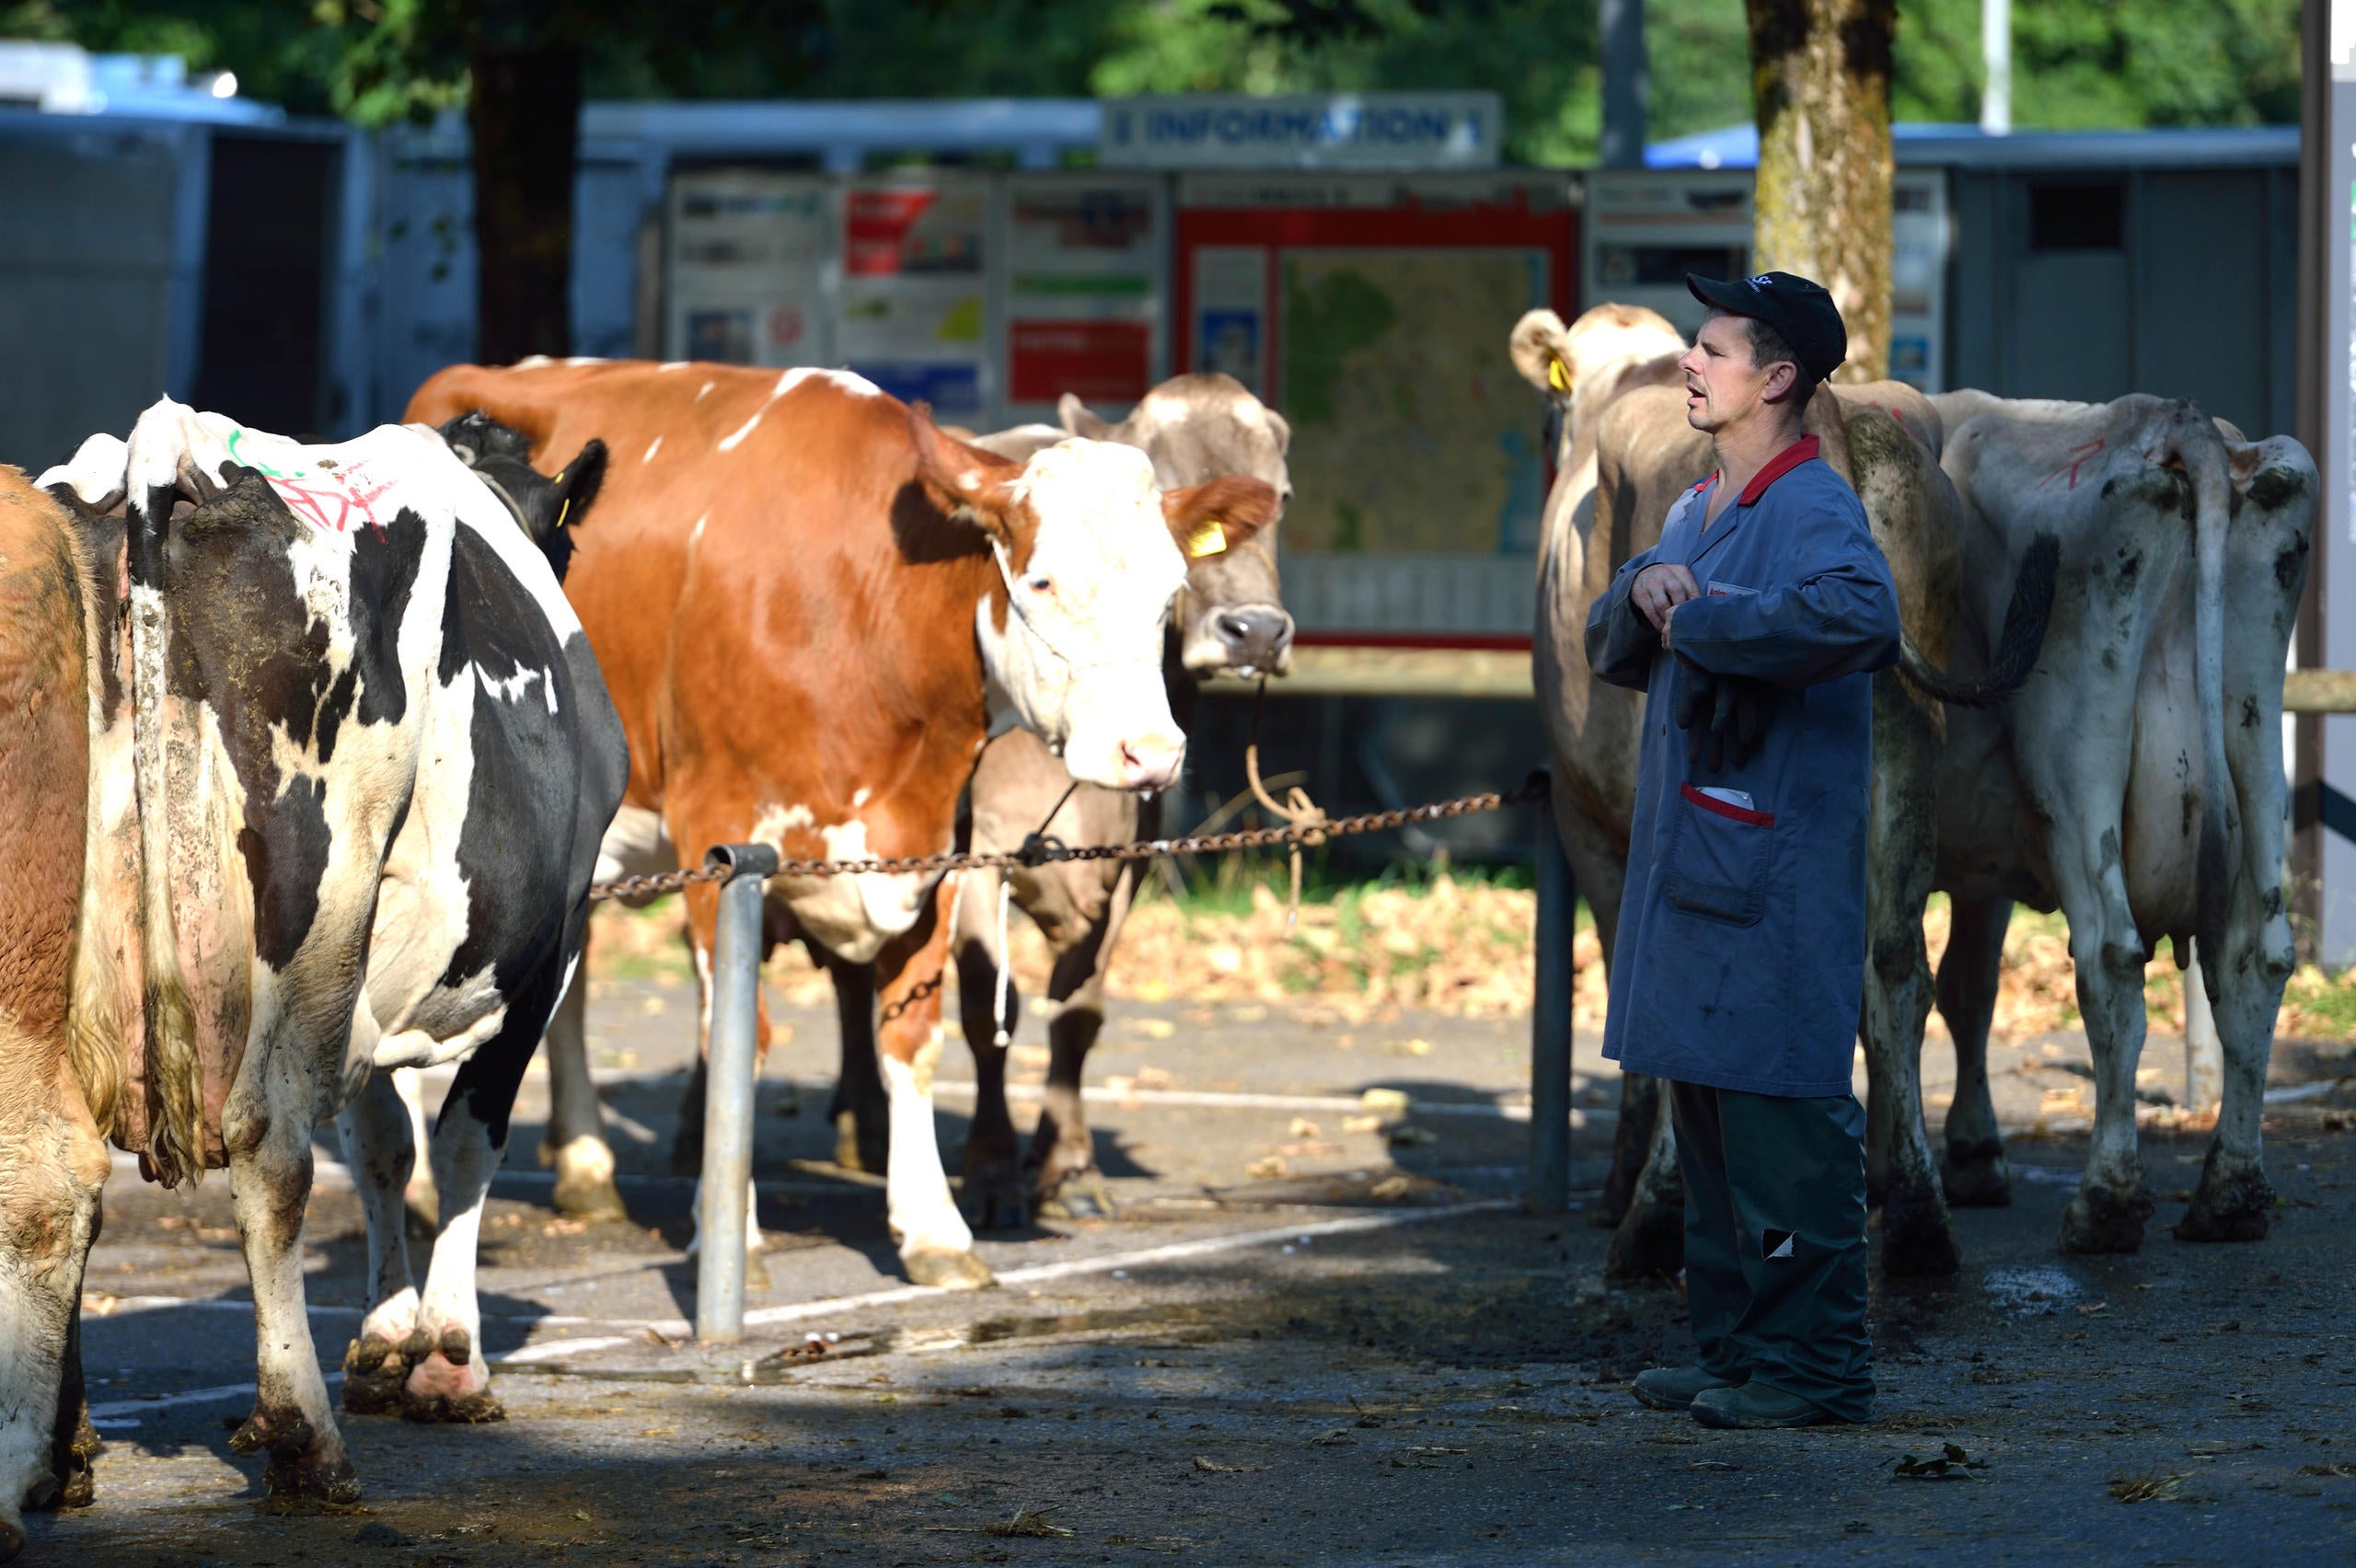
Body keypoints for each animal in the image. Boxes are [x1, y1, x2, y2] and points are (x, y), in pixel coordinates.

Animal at [43, 398, 626, 1497]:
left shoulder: (365, 993)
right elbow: (464, 1139)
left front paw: (389, 1338)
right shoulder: (552, 946)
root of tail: (165, 452)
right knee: (272, 1150)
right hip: (311, 907)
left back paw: (62, 1448)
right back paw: (303, 1437)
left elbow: (385, 1141)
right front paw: (446, 1356)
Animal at [398, 363, 1281, 1280]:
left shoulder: (936, 848)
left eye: (1170, 590)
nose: (1152, 752)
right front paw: (731, 1233)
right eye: (1041, 581)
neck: (868, 617)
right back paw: (422, 1191)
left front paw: (932, 1229)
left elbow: (914, 1036)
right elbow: (736, 1038)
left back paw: (585, 1165)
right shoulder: (718, 840)